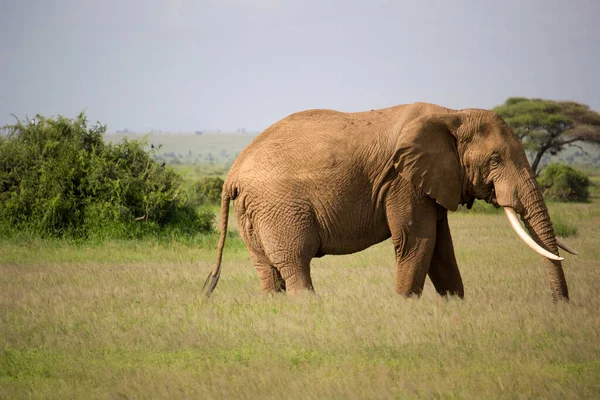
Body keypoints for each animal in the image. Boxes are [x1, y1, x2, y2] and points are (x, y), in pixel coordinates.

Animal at [205, 101, 576, 302]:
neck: (452, 114)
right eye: (495, 160)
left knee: (266, 267)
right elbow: (418, 242)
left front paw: (456, 307)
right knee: (295, 261)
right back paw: (308, 308)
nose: (559, 306)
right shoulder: (402, 180)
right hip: (278, 205)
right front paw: (405, 308)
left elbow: (442, 248)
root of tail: (233, 172)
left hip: (252, 209)